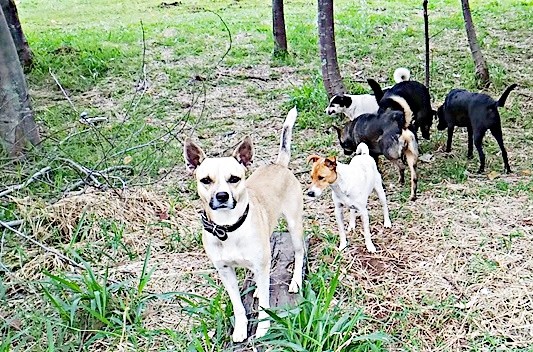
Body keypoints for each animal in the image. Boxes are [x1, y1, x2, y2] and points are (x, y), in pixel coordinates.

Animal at [183, 108, 304, 344]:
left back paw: (295, 281)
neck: (228, 227)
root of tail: (279, 164)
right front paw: (240, 328)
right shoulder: (225, 271)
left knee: (299, 253)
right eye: (205, 180)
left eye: (234, 178)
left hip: (295, 227)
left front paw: (263, 328)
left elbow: (265, 305)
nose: (222, 196)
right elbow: (237, 305)